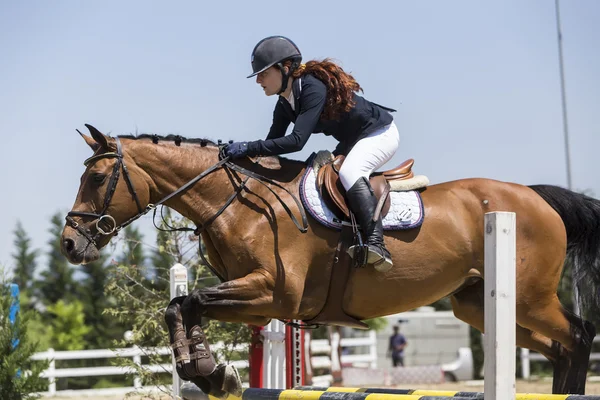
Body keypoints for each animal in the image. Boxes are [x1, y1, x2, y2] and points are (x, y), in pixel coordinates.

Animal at [61, 124, 600, 396]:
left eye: (97, 178)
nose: (69, 243)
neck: (239, 203)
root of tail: (538, 198)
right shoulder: (257, 300)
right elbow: (181, 306)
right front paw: (210, 372)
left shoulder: (273, 294)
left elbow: (188, 302)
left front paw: (213, 372)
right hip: (479, 306)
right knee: (558, 347)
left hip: (528, 298)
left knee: (578, 335)